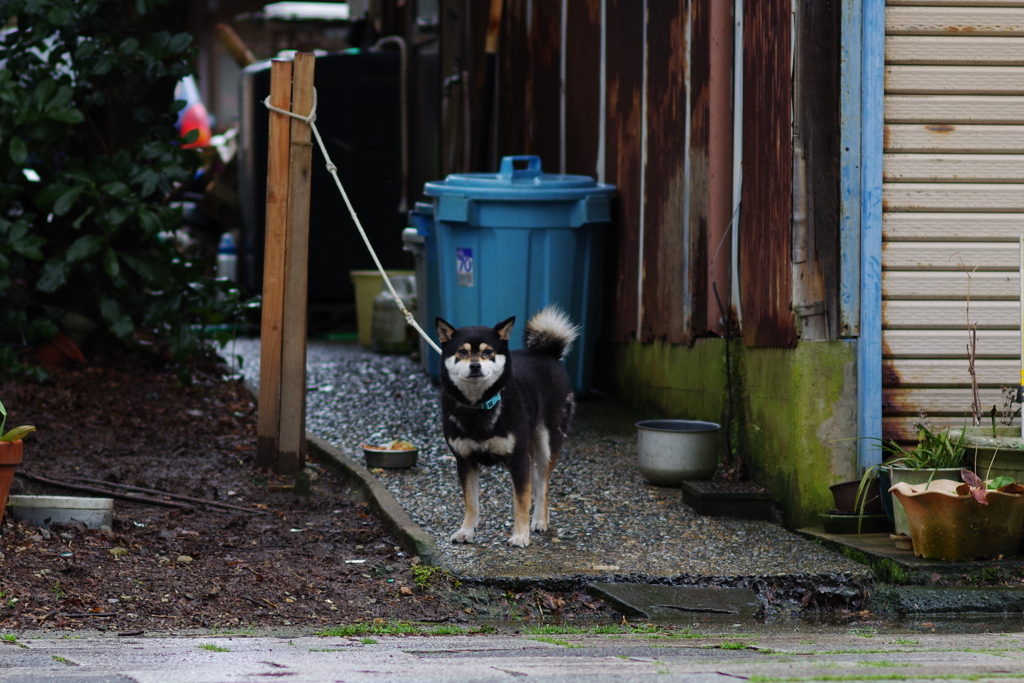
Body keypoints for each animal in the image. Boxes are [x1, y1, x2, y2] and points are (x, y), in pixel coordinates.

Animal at [436, 307, 581, 548]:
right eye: (462, 352)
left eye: (488, 352)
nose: (475, 366)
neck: (479, 406)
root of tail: (549, 355)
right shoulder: (465, 461)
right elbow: (471, 503)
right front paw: (466, 531)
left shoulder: (518, 459)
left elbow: (520, 502)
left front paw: (521, 535)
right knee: (538, 483)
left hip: (546, 444)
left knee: (543, 486)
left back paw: (539, 520)